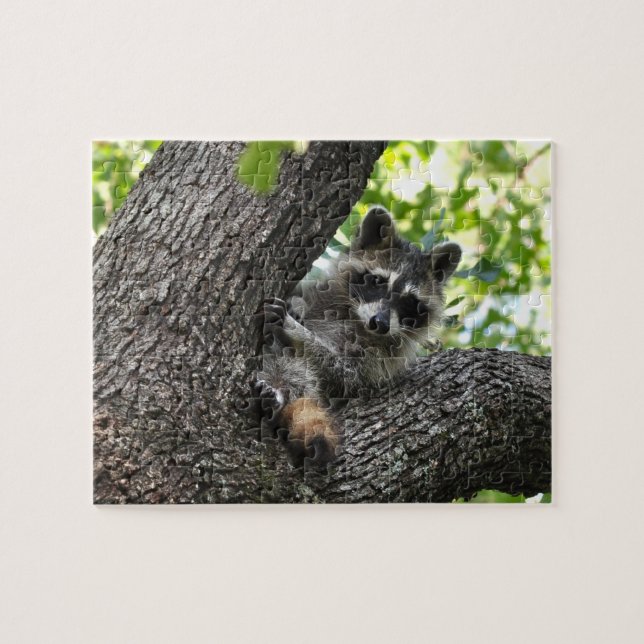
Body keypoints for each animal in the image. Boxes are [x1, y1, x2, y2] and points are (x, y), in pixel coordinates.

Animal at [256, 206, 462, 467]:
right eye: (377, 281)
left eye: (409, 302)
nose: (380, 323)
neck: (356, 319)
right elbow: (301, 295)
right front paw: (297, 305)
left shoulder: (380, 362)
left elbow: (345, 374)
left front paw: (302, 335)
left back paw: (278, 394)